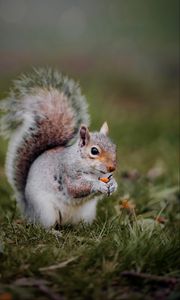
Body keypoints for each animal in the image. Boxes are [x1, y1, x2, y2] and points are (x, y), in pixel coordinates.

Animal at [0, 67, 117, 227]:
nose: (112, 167)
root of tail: (29, 211)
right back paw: (54, 231)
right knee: (43, 226)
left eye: (114, 147)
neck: (93, 171)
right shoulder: (67, 173)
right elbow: (75, 188)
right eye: (94, 151)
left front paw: (113, 184)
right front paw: (97, 185)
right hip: (45, 211)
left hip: (86, 213)